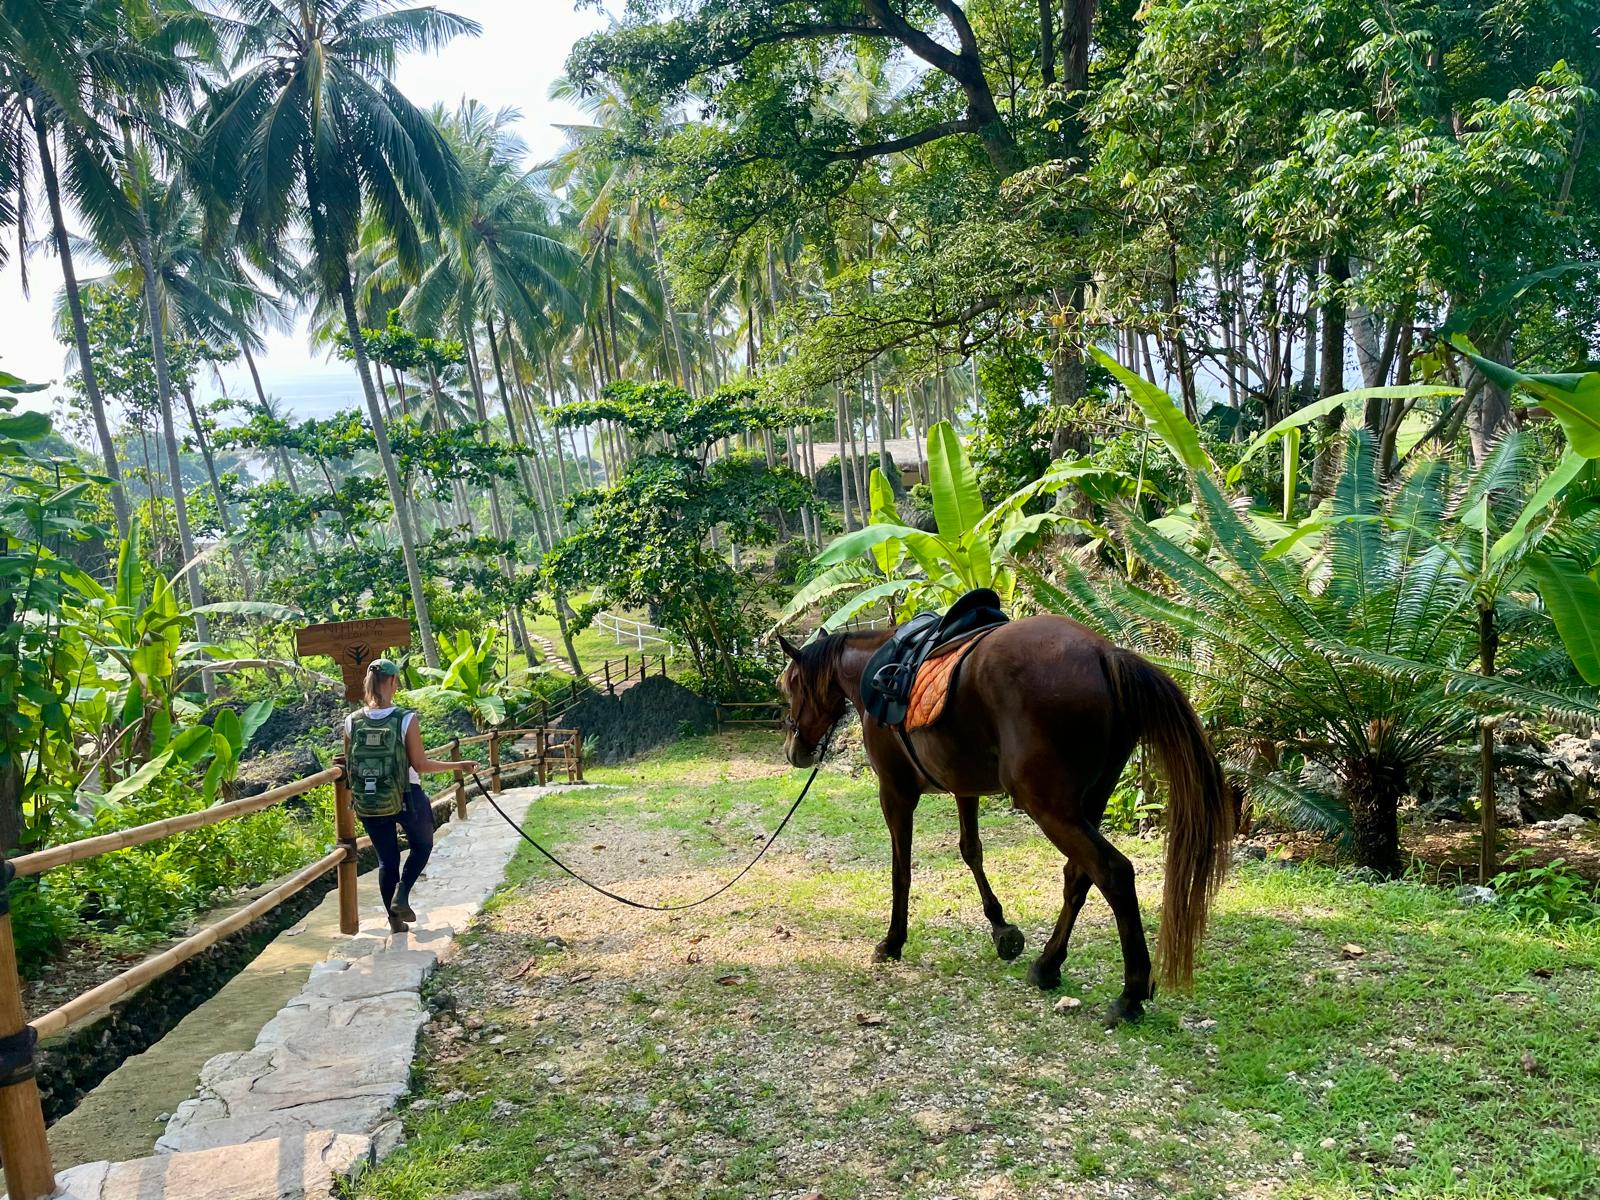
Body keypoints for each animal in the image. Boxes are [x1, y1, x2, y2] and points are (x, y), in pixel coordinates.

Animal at [777, 620, 1235, 1024]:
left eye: (791, 685)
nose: (794, 750)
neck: (875, 669)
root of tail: (1105, 654)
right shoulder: (964, 786)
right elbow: (971, 851)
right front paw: (1001, 929)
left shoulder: (895, 792)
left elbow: (900, 870)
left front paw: (893, 941)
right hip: (1089, 803)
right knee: (1079, 875)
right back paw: (1048, 964)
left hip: (1049, 807)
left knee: (1113, 873)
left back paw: (1130, 995)